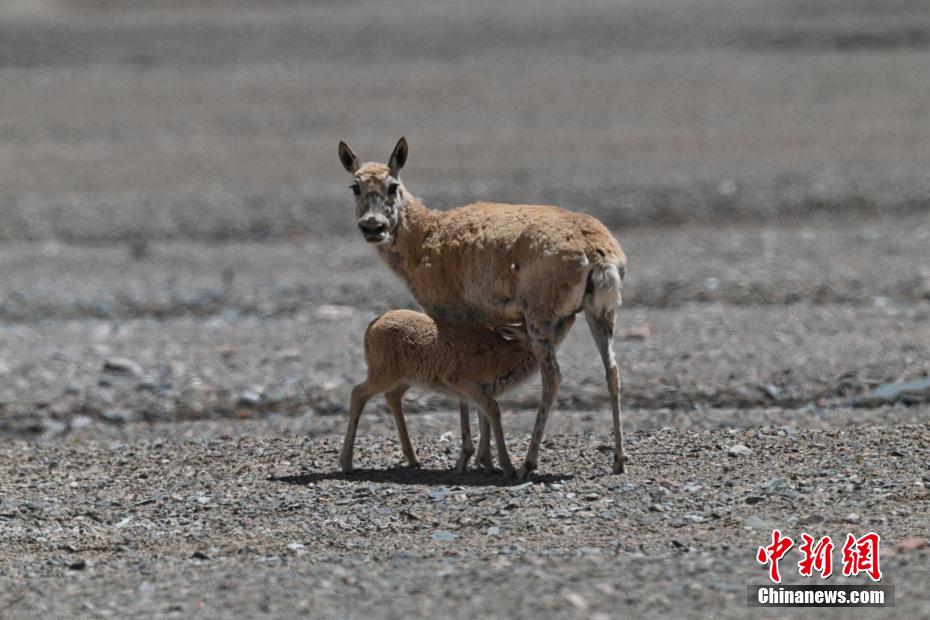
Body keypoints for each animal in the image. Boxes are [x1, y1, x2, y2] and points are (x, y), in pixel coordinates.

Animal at [338, 138, 628, 478]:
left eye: (393, 185)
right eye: (355, 186)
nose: (373, 226)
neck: (425, 237)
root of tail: (598, 251)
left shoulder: (448, 313)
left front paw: (467, 457)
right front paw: (483, 459)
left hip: (539, 318)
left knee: (553, 377)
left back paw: (527, 463)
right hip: (601, 315)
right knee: (613, 372)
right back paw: (618, 460)